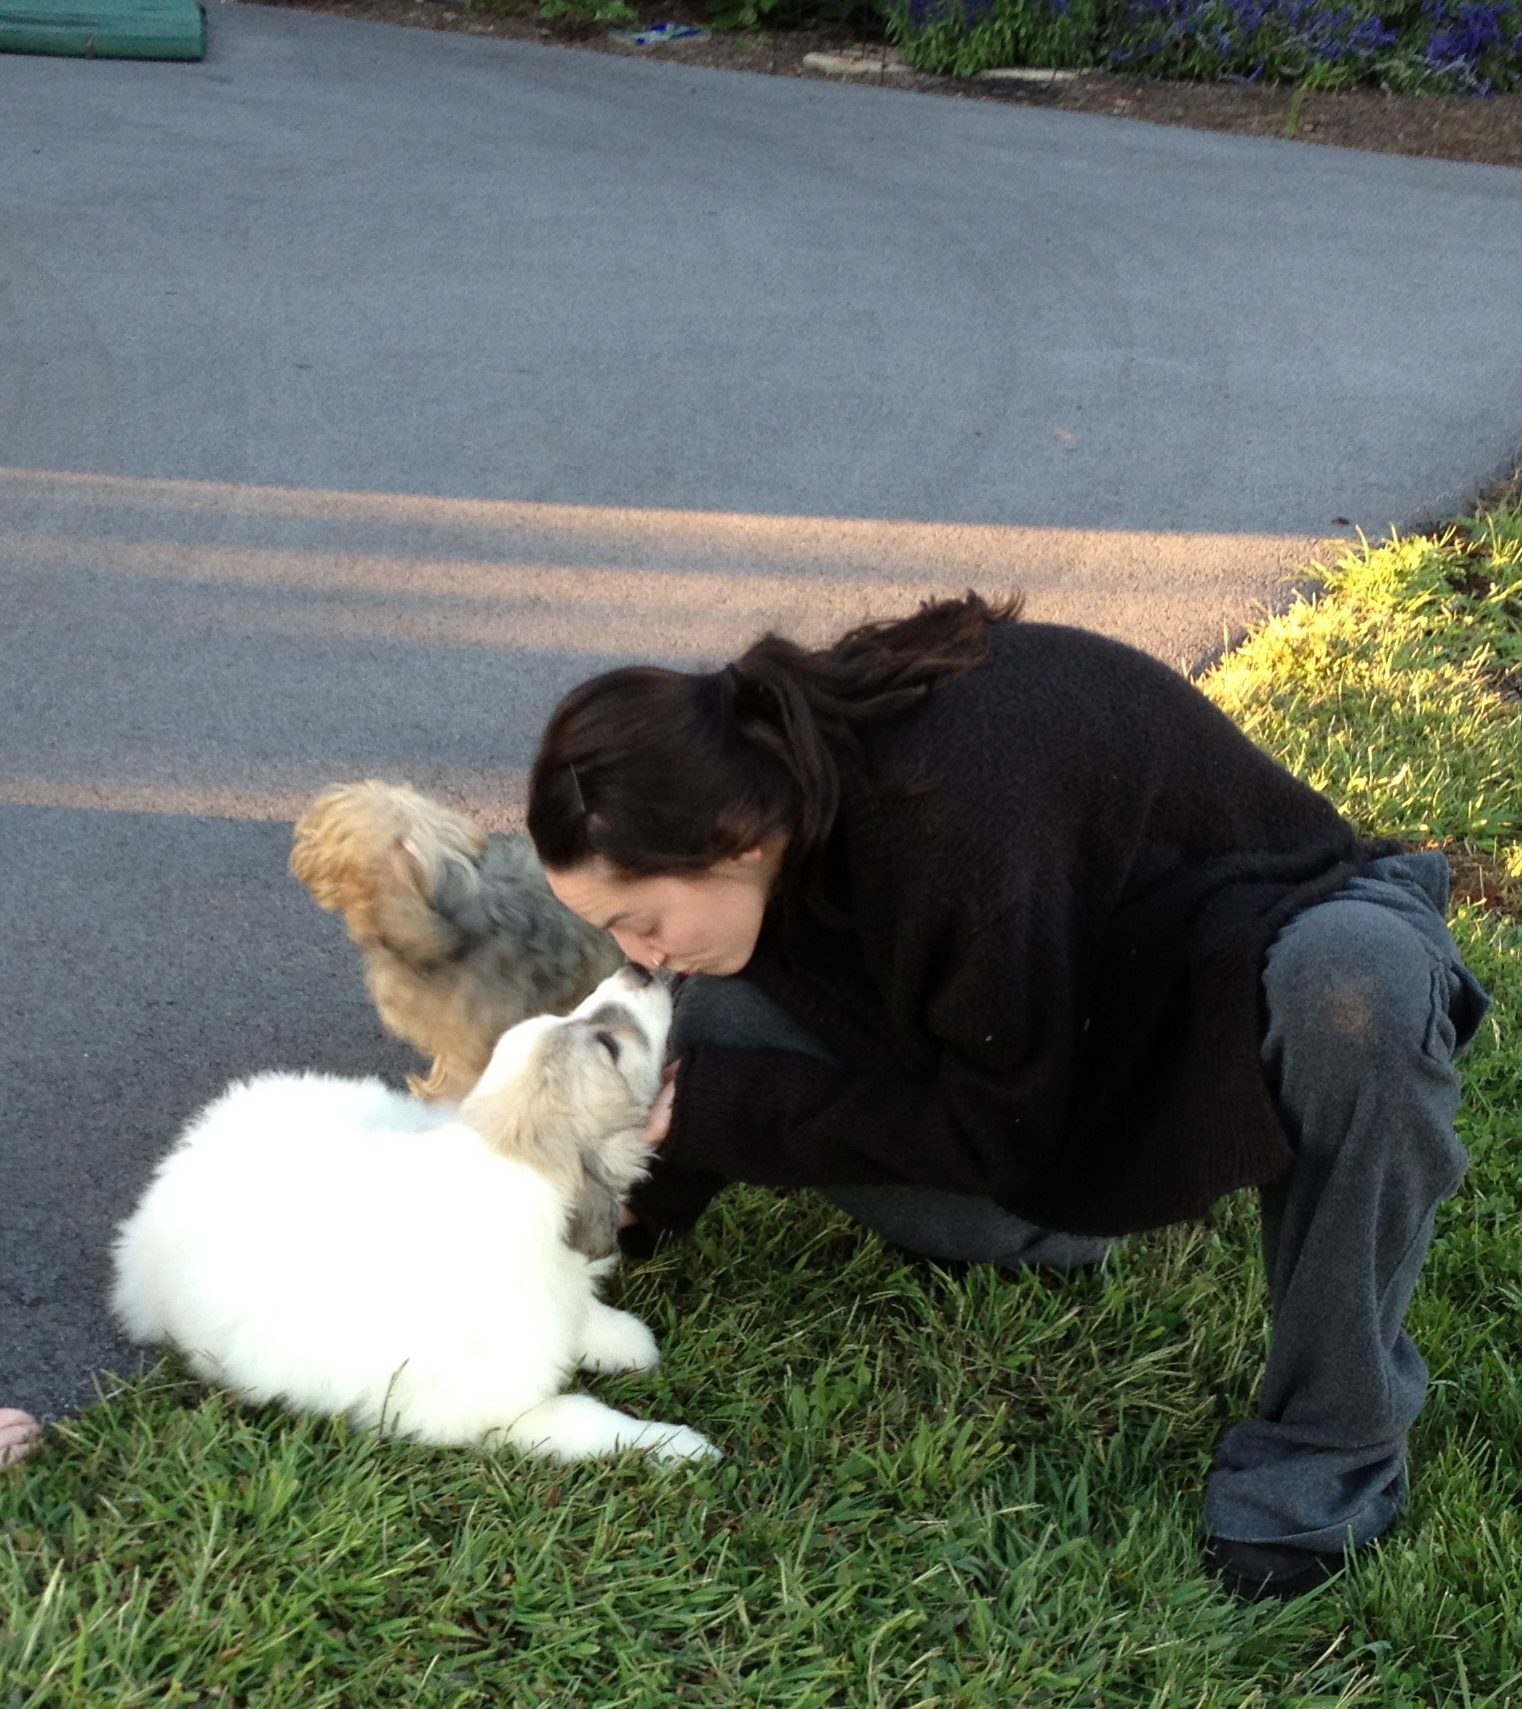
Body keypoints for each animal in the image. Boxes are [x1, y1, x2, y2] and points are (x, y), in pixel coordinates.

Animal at [110, 966, 718, 1462]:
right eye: (609, 1045)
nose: (639, 967)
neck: (512, 1161)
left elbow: (583, 1317)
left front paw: (627, 1343)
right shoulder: (502, 1414)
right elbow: (593, 1421)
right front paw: (678, 1445)